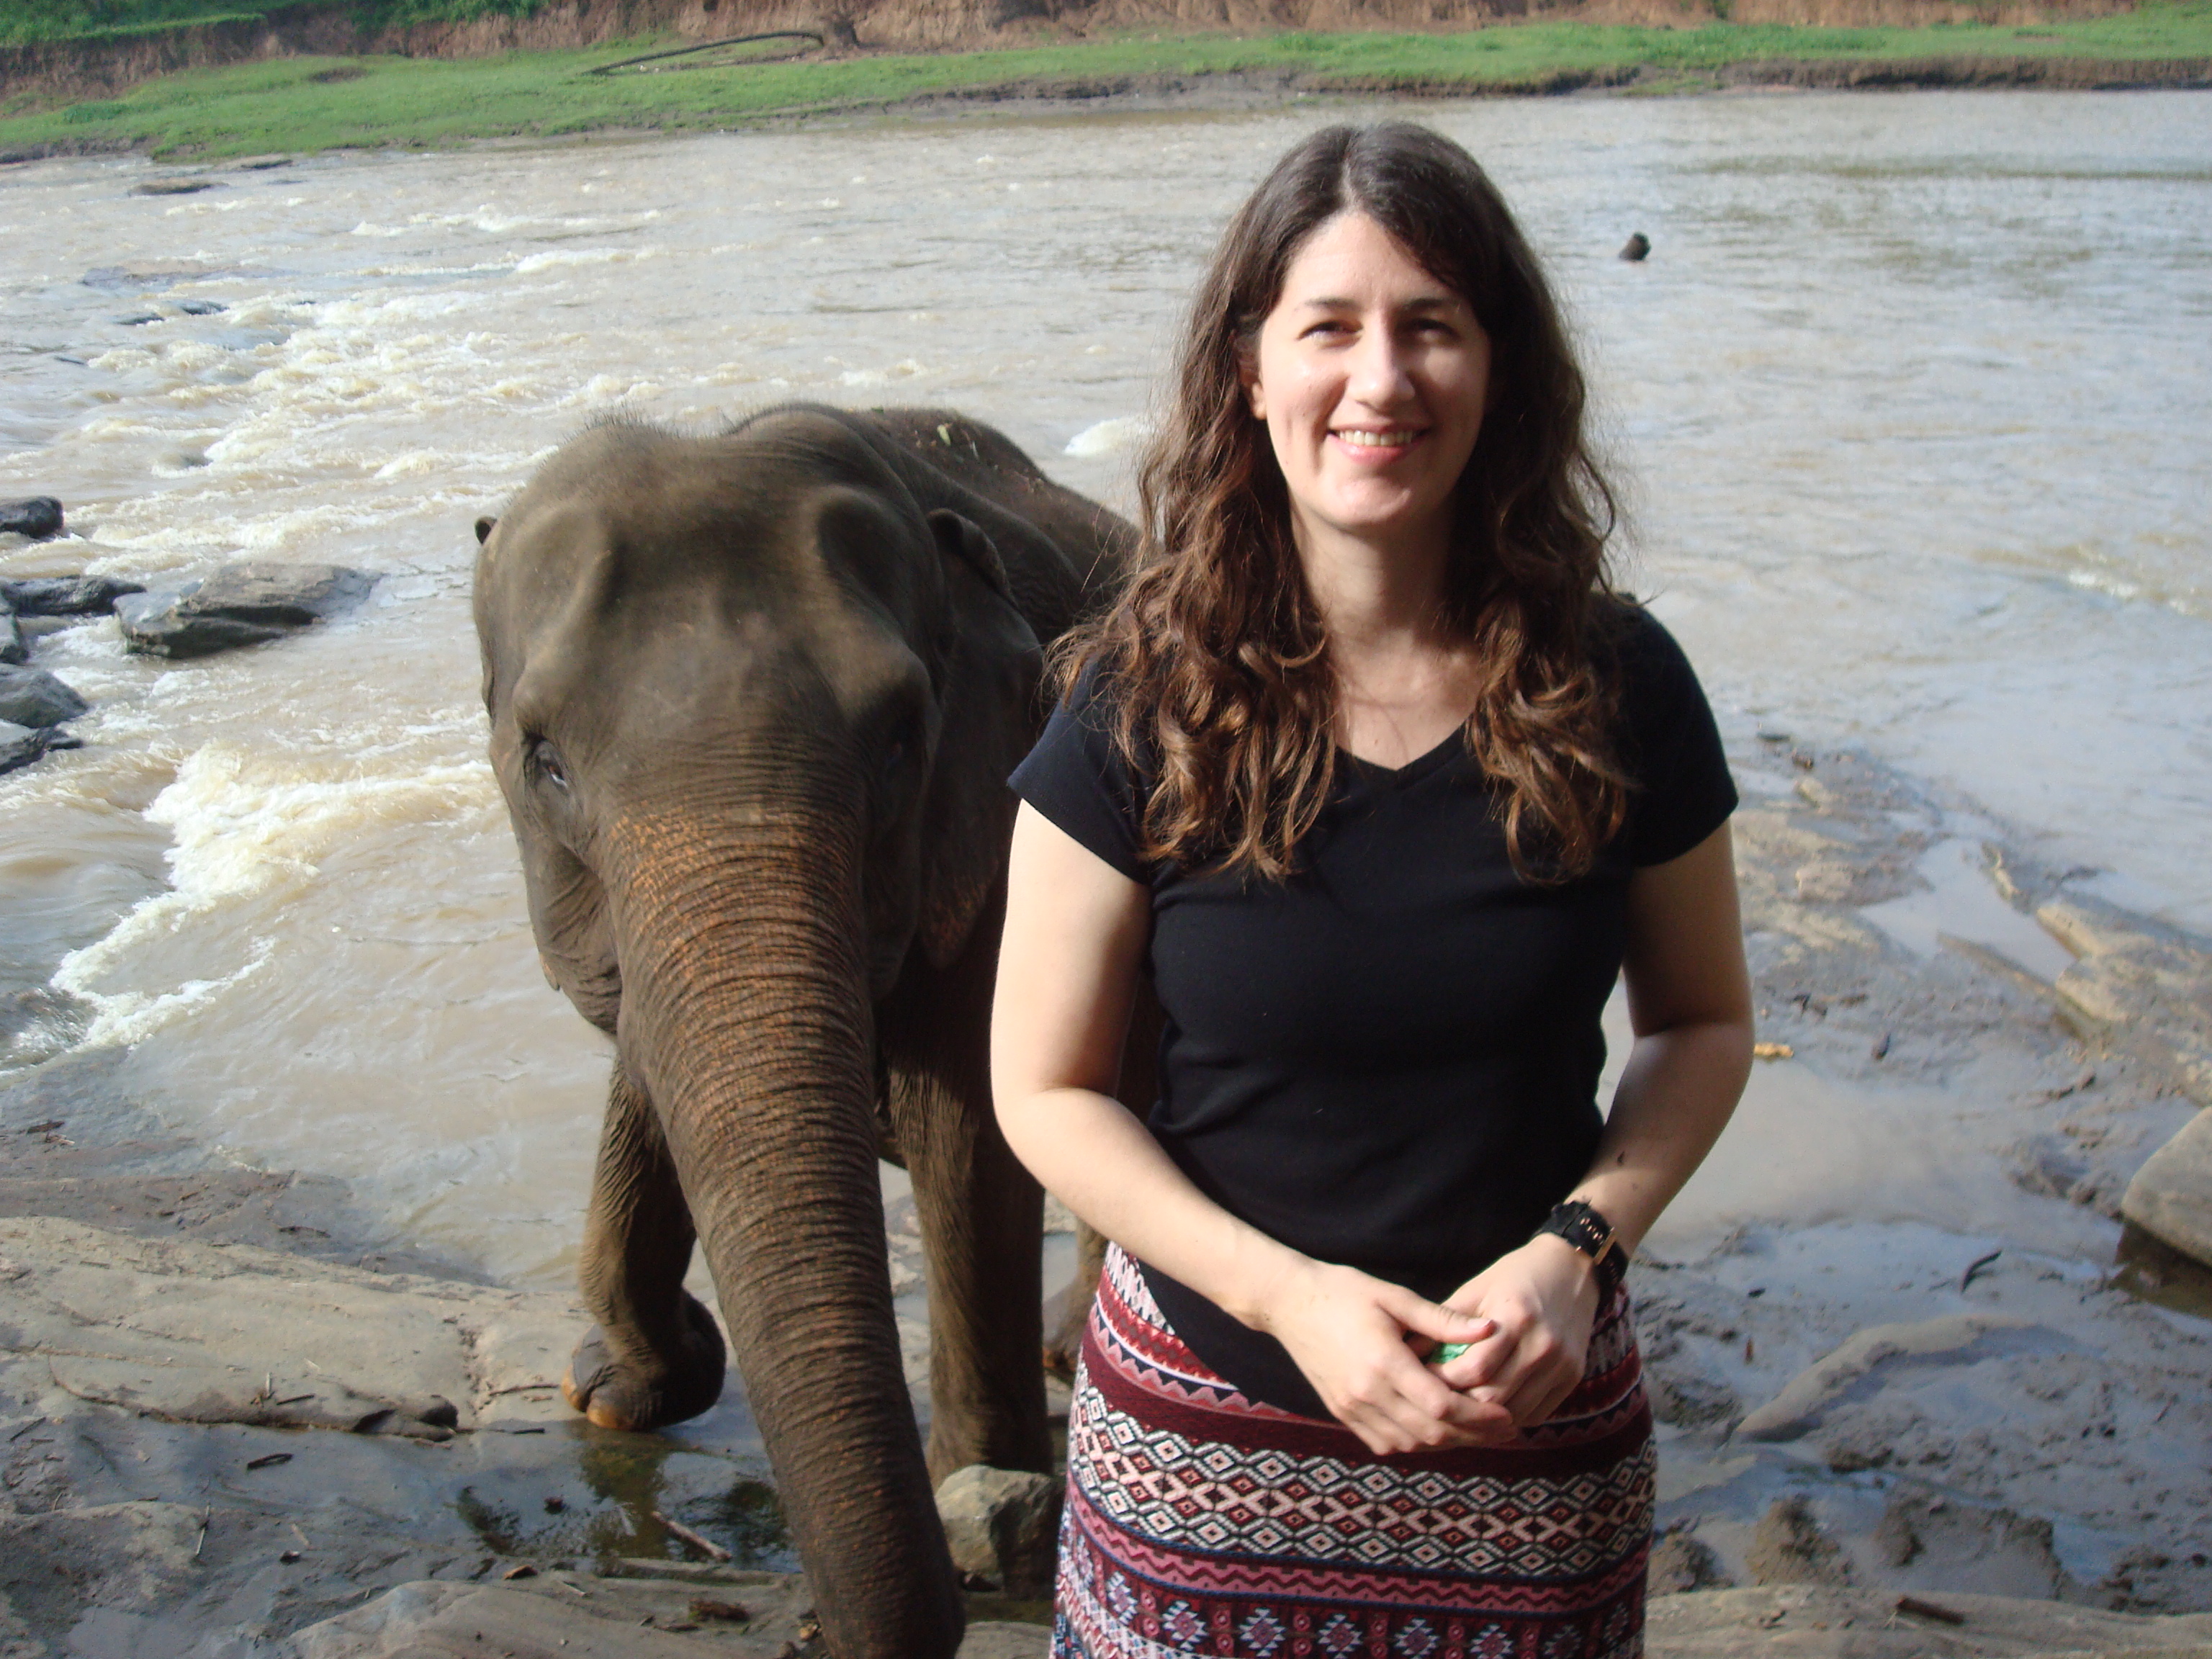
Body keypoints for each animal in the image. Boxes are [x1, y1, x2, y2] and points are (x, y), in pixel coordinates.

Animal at [480, 407, 1141, 1659]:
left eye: (899, 740)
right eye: (546, 762)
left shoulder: (1005, 821)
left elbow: (967, 1130)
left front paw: (985, 1502)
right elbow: (652, 1060)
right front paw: (622, 1388)